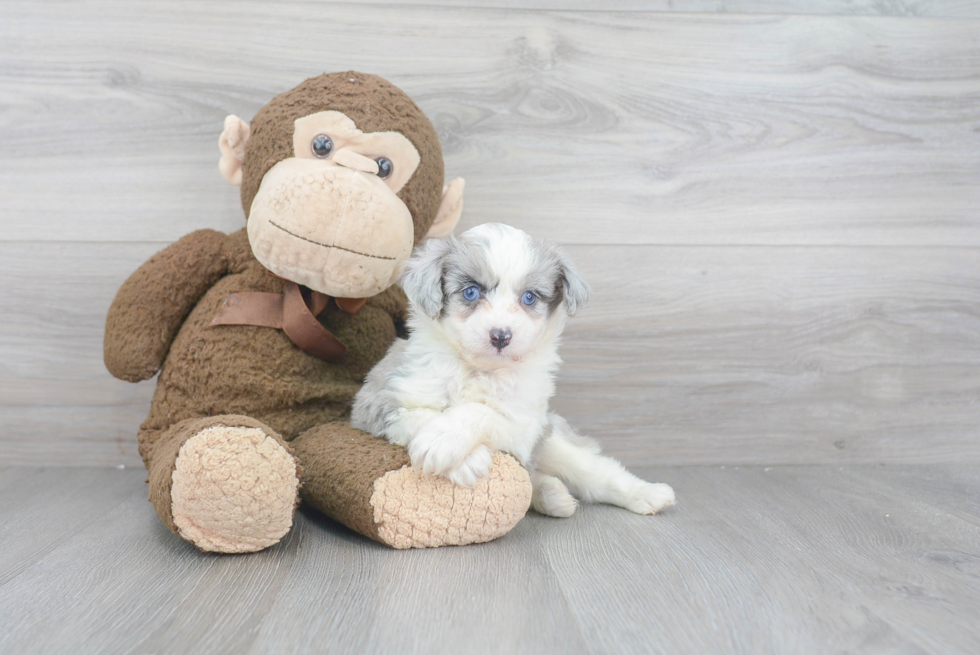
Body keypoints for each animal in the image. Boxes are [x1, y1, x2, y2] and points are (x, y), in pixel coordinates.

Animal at [350, 224, 672, 516]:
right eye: (471, 292)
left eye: (529, 297)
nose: (501, 336)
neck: (478, 371)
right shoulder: (383, 400)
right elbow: (419, 414)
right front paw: (465, 459)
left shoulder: (525, 422)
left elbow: (482, 411)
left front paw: (443, 439)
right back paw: (552, 495)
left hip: (555, 440)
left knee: (597, 472)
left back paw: (647, 494)